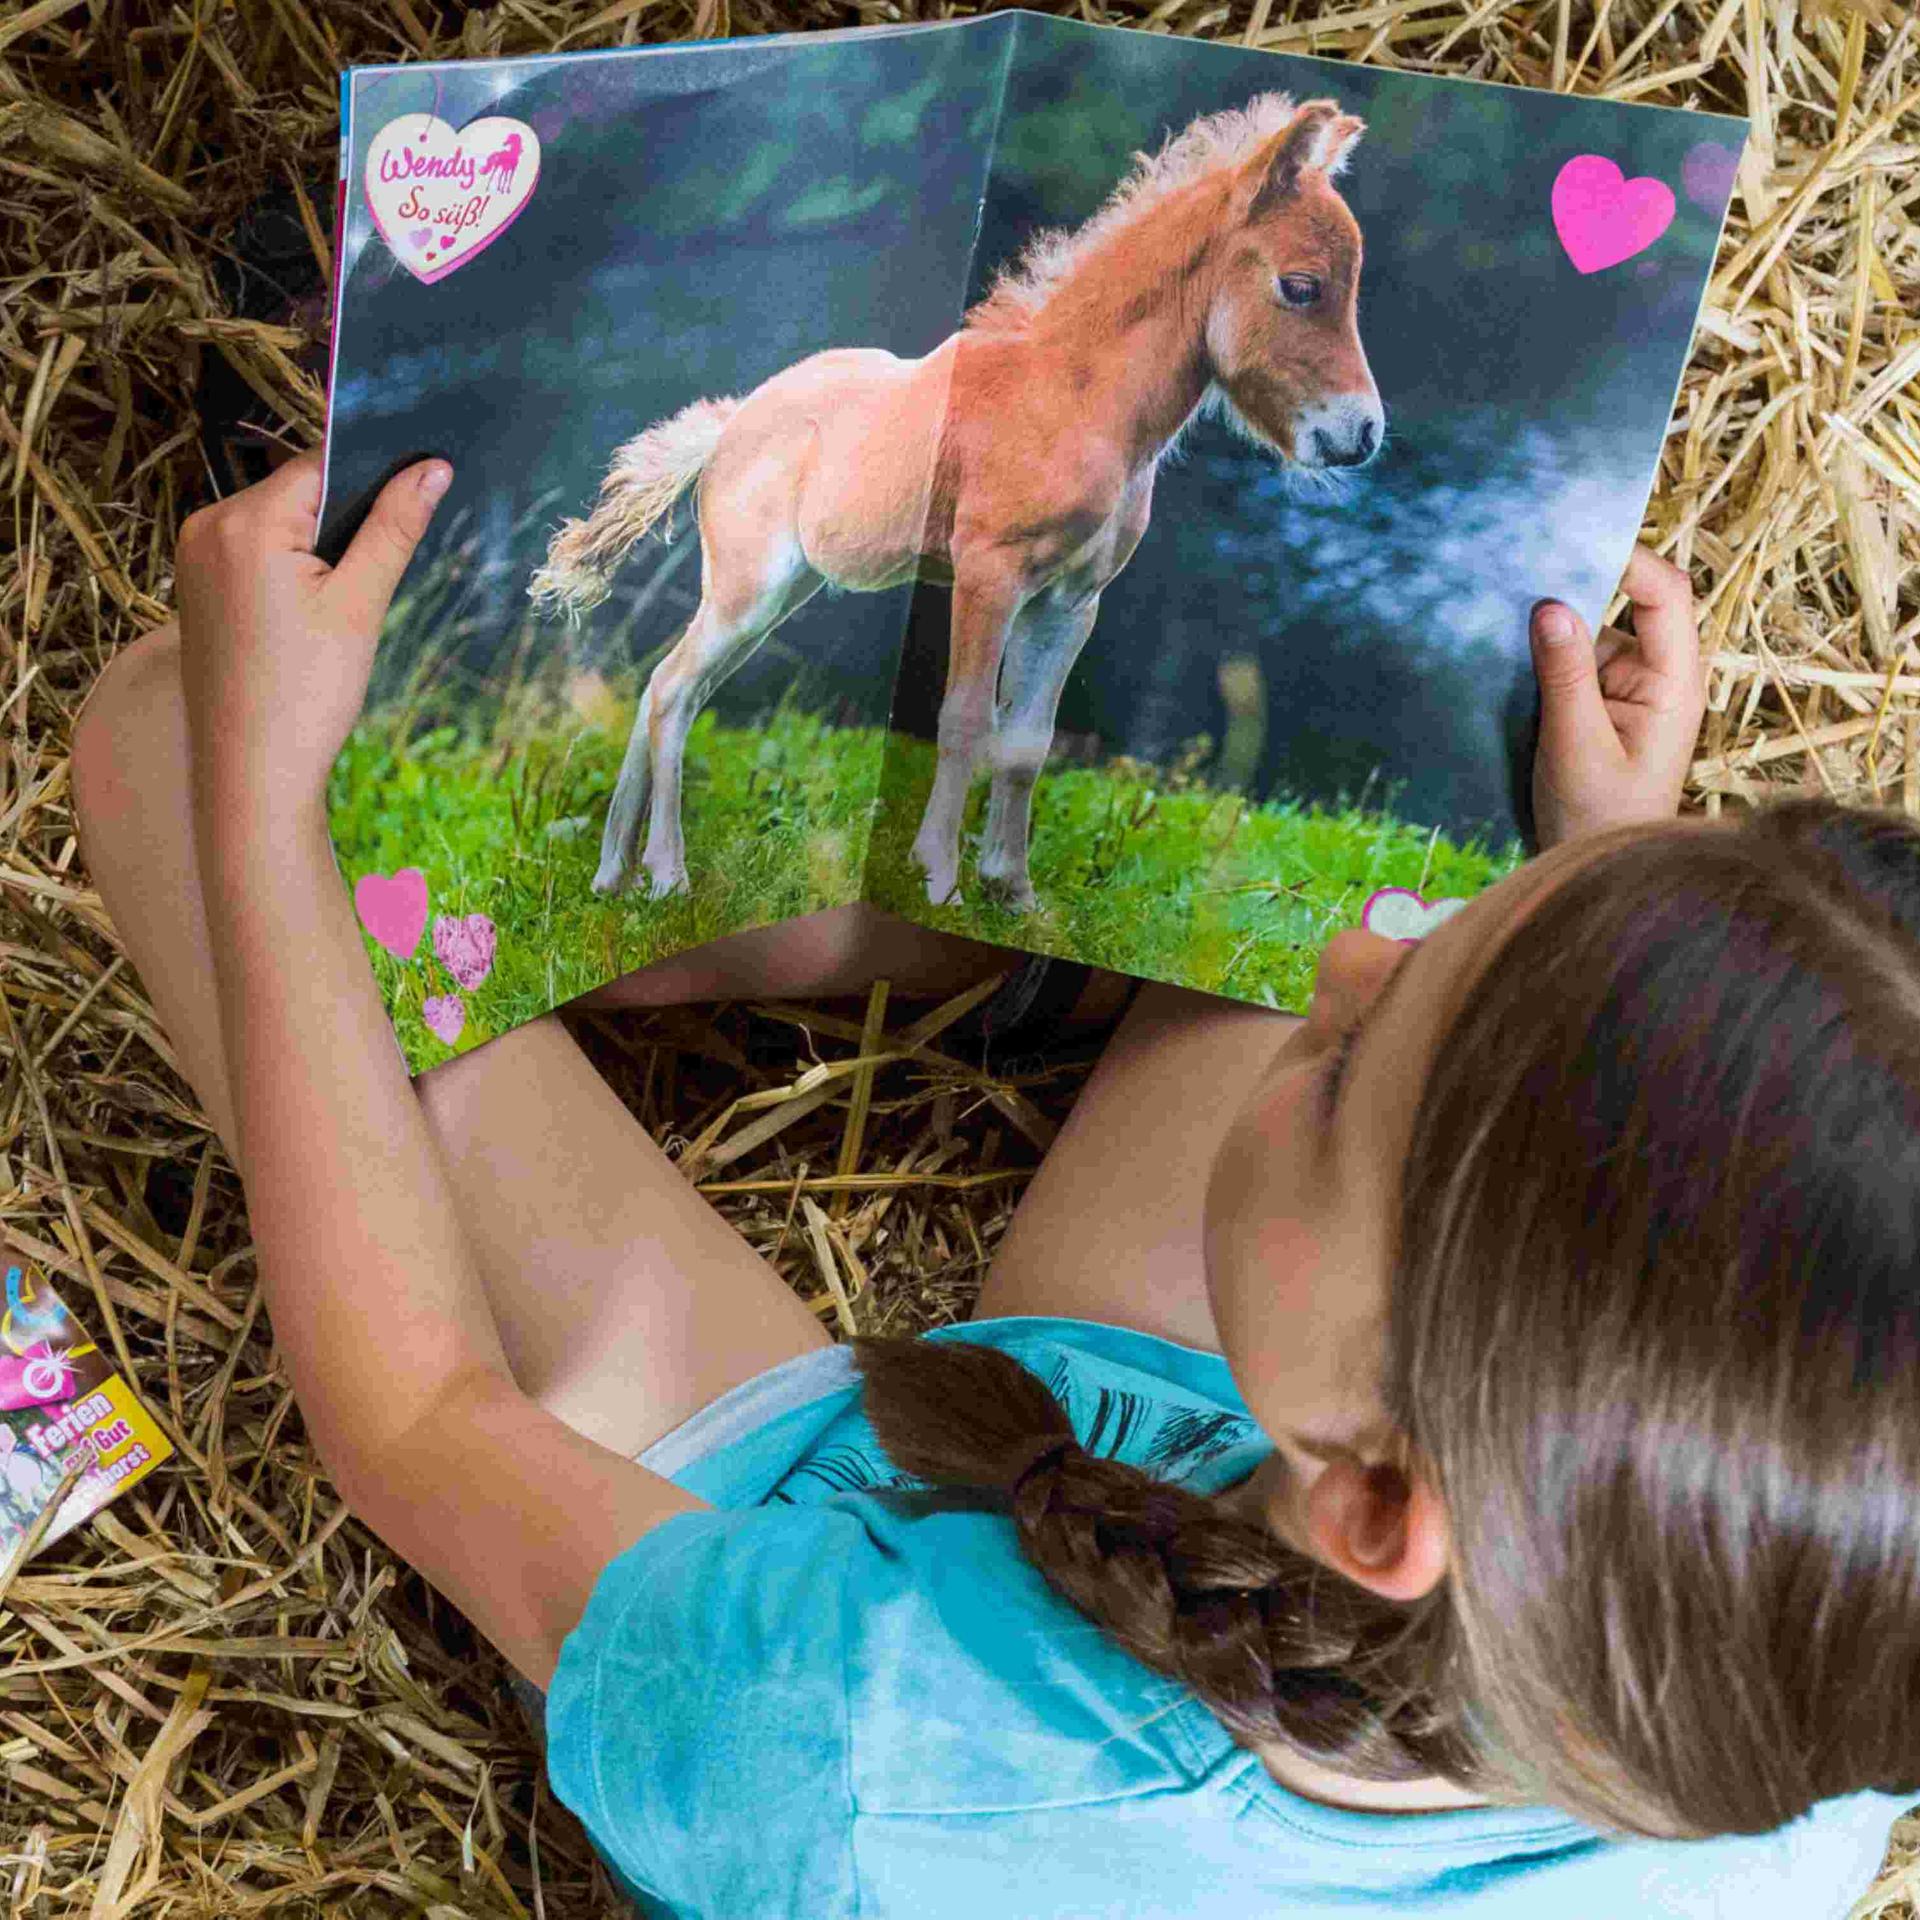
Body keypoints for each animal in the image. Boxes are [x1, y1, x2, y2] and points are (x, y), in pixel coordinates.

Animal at [529, 94, 1383, 909]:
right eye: (1300, 287)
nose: (1361, 432)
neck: (1071, 399)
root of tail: (729, 424)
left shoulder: (1070, 601)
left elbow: (1028, 740)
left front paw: (1013, 889)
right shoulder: (988, 575)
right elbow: (966, 719)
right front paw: (939, 878)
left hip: (781, 591)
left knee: (662, 685)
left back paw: (613, 872)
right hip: (751, 588)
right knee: (675, 692)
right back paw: (667, 875)